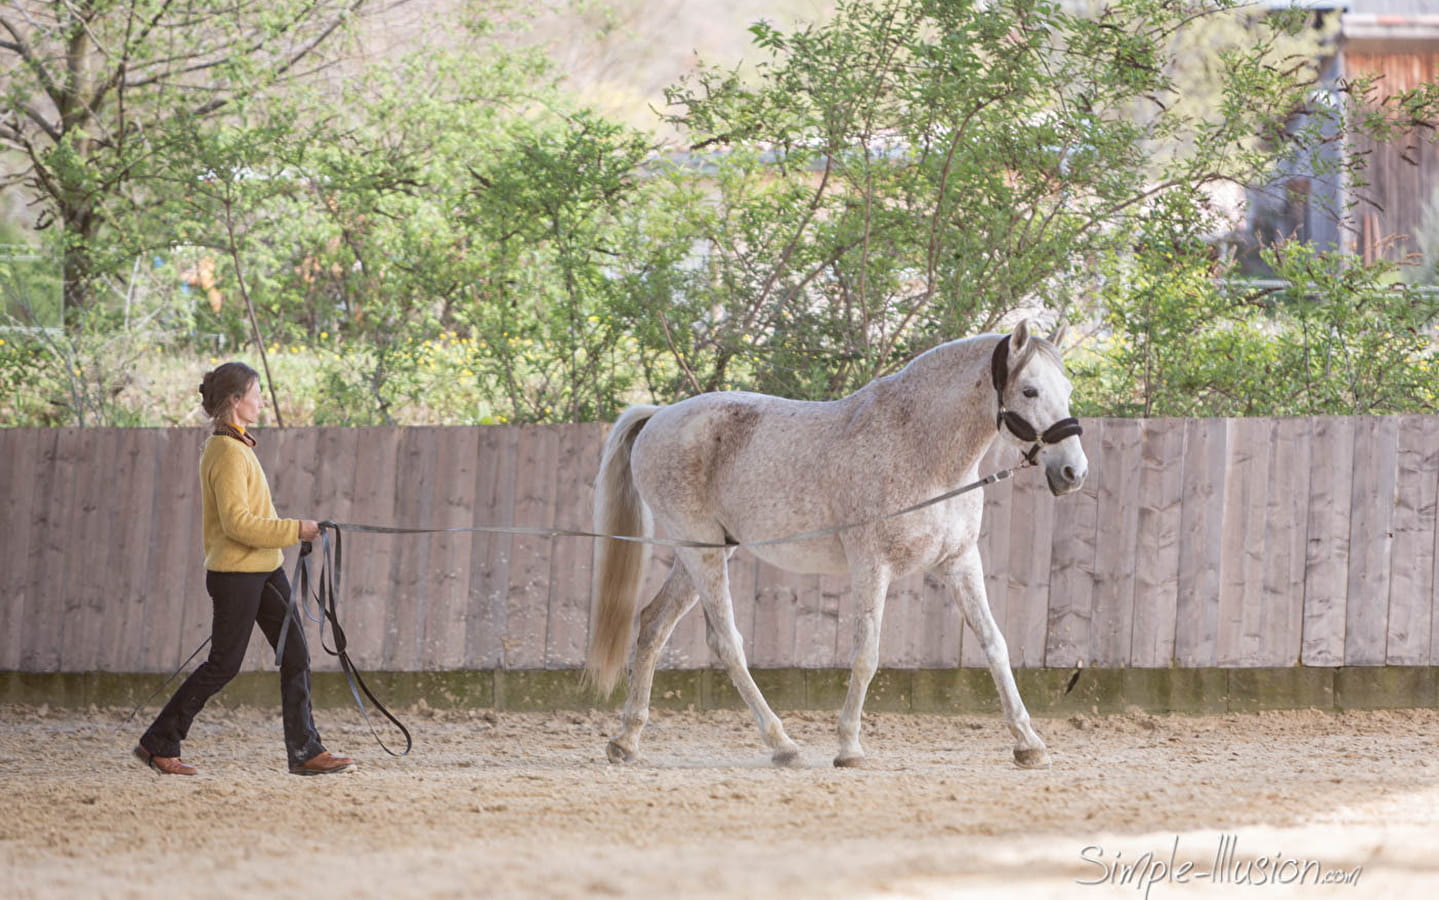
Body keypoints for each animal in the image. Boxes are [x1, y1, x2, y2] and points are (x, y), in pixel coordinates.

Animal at [589, 319, 1082, 766]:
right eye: (1030, 391)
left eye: (1067, 388)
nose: (1073, 472)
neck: (920, 448)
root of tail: (660, 415)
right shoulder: (872, 566)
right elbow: (866, 654)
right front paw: (849, 748)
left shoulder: (960, 562)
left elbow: (994, 644)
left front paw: (1029, 744)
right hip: (701, 551)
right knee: (726, 641)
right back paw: (782, 744)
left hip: (705, 550)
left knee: (653, 625)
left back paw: (626, 741)